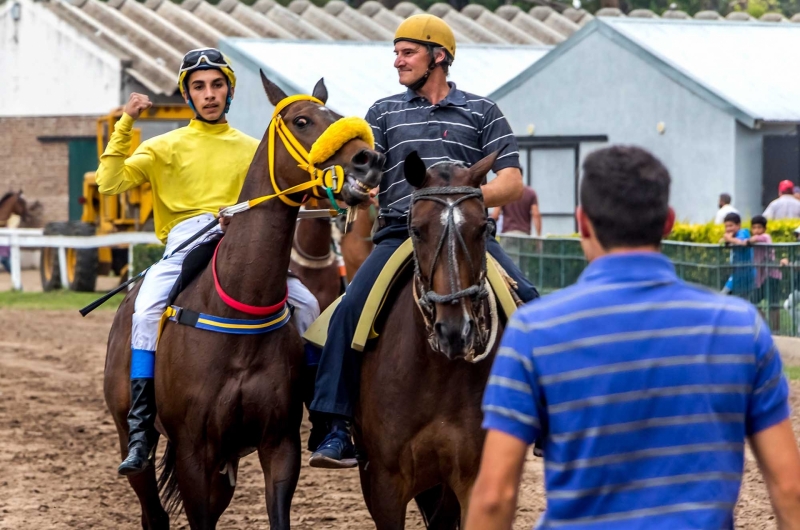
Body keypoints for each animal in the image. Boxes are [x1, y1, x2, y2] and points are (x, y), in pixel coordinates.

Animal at [354, 151, 500, 524]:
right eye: (417, 230)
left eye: (482, 228)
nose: (455, 331)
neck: (436, 373)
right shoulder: (385, 485)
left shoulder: (471, 478)